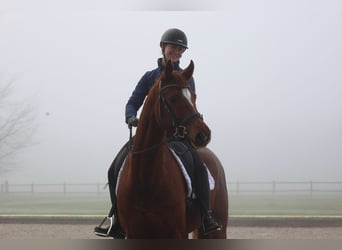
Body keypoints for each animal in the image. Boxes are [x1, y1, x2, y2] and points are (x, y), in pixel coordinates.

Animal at [116, 60, 228, 238]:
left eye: (193, 96)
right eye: (174, 98)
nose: (203, 135)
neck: (146, 179)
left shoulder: (175, 233)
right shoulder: (134, 233)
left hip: (219, 227)